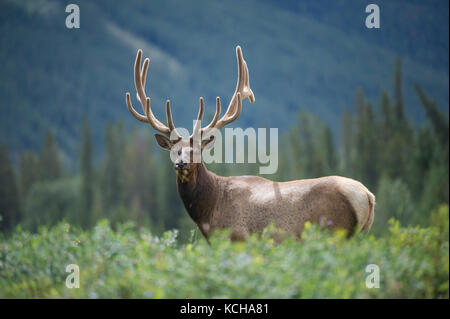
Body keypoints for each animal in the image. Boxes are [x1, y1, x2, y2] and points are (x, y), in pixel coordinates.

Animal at [125, 46, 374, 241]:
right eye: (175, 151)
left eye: (197, 151)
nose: (181, 164)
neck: (209, 212)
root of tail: (368, 196)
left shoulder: (238, 238)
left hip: (337, 232)